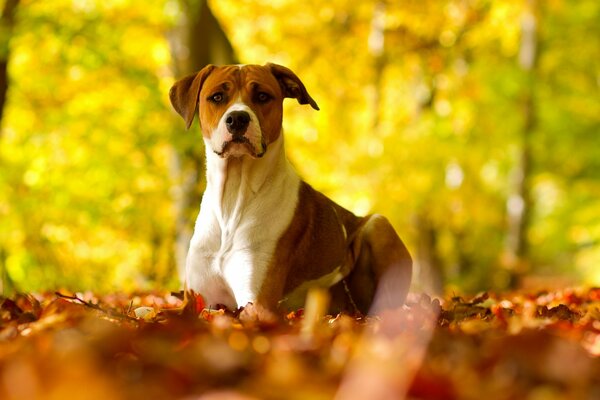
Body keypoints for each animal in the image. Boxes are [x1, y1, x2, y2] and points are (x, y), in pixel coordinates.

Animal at [170, 63, 412, 318]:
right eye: (217, 97)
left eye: (262, 96)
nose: (237, 118)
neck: (233, 197)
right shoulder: (200, 298)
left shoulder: (257, 301)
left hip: (378, 224)